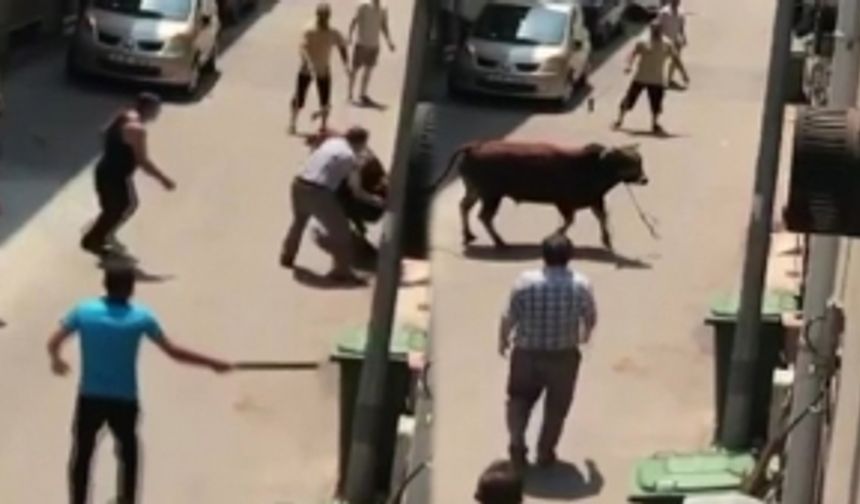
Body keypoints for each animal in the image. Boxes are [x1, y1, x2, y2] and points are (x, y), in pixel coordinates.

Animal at [440, 139, 648, 249]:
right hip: (491, 195)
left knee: (464, 206)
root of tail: (473, 147)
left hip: (475, 190)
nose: (645, 179)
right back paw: (499, 241)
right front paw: (555, 235)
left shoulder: (595, 200)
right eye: (630, 162)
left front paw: (606, 239)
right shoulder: (564, 202)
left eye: (639, 161)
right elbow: (569, 221)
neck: (595, 167)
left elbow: (601, 217)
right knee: (484, 216)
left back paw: (468, 235)